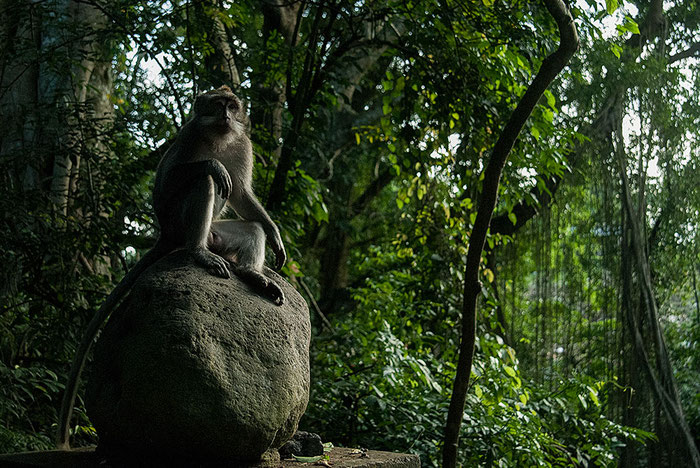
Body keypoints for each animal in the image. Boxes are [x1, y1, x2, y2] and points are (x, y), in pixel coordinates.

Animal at [56, 85, 288, 450]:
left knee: (250, 227)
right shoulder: (189, 136)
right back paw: (199, 252)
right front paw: (212, 163)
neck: (218, 137)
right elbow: (175, 178)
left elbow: (241, 194)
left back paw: (252, 274)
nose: (226, 116)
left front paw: (276, 236)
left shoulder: (242, 143)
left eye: (231, 106)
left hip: (216, 234)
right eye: (217, 105)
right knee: (205, 181)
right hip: (179, 222)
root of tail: (167, 234)